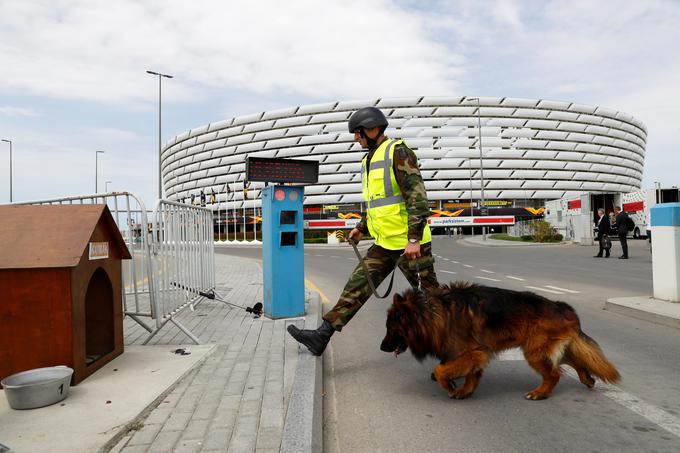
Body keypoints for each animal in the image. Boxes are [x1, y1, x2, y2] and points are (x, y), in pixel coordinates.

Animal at [380, 282, 620, 400]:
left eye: (390, 330)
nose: (382, 347)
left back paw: (540, 393)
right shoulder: (475, 355)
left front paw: (449, 384)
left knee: (554, 374)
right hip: (550, 349)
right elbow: (472, 376)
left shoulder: (473, 352)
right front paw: (465, 391)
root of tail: (561, 306)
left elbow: (441, 370)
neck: (431, 314)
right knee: (576, 361)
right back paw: (587, 379)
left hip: (535, 352)